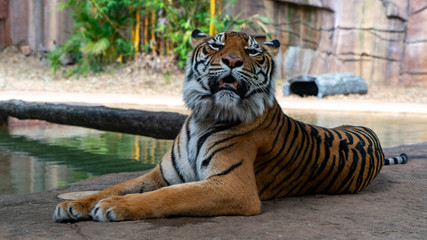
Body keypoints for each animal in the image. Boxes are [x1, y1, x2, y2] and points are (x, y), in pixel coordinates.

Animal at [53, 30, 408, 223]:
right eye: (216, 45)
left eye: (251, 51)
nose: (233, 61)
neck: (205, 115)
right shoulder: (161, 174)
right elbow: (116, 186)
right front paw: (73, 205)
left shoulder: (232, 185)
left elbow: (168, 197)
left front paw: (113, 207)